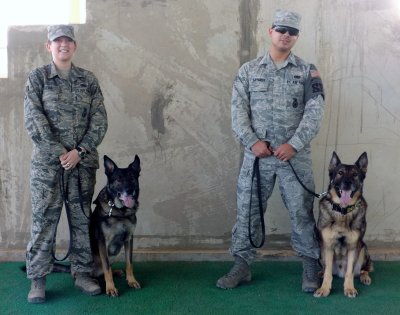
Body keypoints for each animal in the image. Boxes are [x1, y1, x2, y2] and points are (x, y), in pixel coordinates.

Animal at [89, 157, 141, 298]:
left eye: (132, 178)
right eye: (118, 179)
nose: (129, 190)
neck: (120, 212)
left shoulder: (129, 239)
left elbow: (129, 263)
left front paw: (131, 280)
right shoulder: (103, 242)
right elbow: (106, 268)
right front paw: (111, 288)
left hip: (114, 253)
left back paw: (116, 272)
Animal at [314, 152, 374, 298]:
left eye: (355, 174)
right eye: (340, 173)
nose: (347, 183)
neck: (343, 211)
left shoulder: (353, 247)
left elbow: (349, 273)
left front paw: (349, 288)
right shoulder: (328, 246)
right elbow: (328, 273)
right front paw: (324, 288)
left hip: (363, 249)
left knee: (363, 270)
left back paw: (365, 277)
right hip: (320, 252)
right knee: (326, 269)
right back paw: (321, 273)